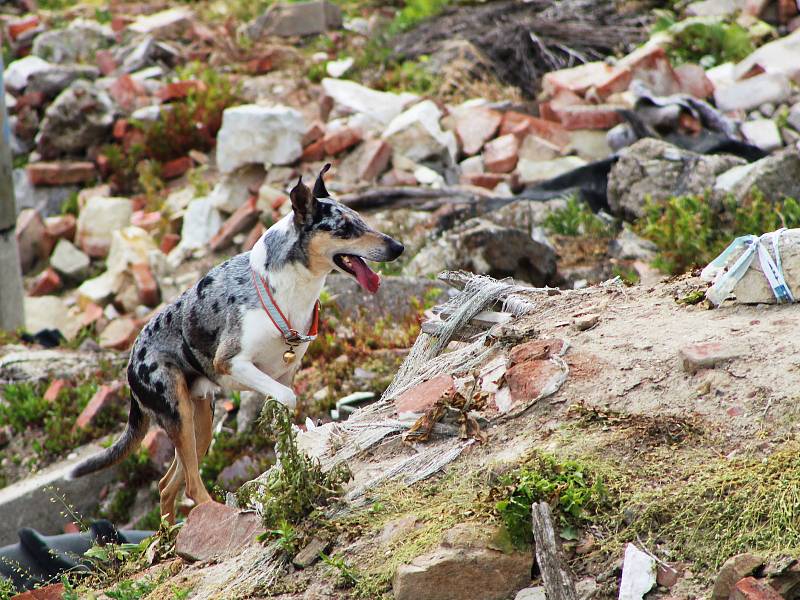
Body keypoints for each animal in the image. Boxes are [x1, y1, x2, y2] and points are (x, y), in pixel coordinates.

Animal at [68, 164, 404, 520]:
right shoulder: (233, 363)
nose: (398, 248)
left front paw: (290, 471)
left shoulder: (284, 372)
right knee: (190, 484)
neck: (284, 290)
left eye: (361, 219)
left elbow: (283, 422)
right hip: (179, 415)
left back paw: (172, 532)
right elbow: (288, 399)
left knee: (167, 484)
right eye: (345, 229)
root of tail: (132, 360)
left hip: (200, 422)